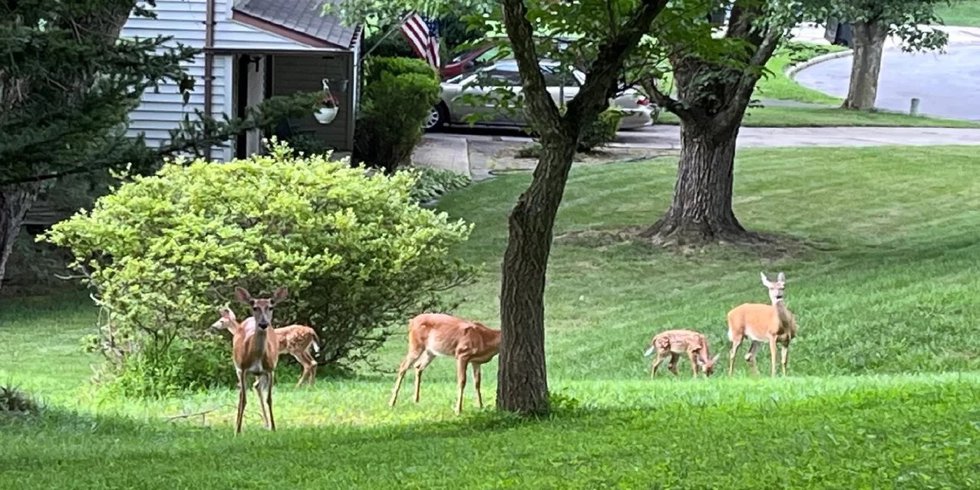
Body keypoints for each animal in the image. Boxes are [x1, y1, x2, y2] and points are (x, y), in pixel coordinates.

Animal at [229, 288, 288, 432]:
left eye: (271, 307)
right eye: (254, 307)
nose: (263, 324)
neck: (257, 357)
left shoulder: (271, 370)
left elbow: (269, 399)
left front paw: (273, 427)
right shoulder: (243, 368)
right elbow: (244, 399)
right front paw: (238, 430)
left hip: (260, 374)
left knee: (256, 386)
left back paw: (266, 423)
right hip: (237, 368)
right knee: (241, 393)